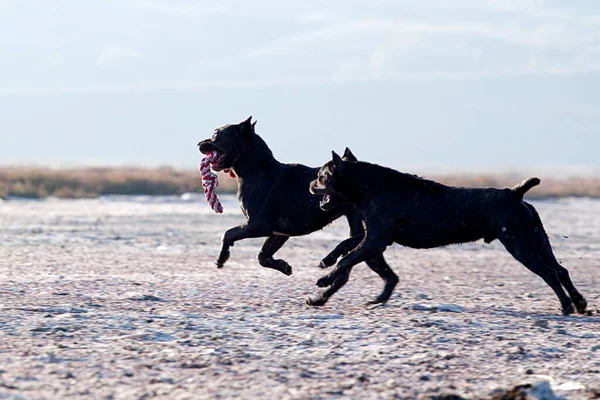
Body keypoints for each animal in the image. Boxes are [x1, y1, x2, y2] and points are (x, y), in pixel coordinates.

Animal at [197, 117, 394, 290]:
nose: (199, 143)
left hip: (359, 220)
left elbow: (228, 234)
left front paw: (221, 258)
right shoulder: (279, 233)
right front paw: (284, 267)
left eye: (216, 134)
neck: (257, 169)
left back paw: (331, 259)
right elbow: (263, 256)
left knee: (362, 241)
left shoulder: (258, 225)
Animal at [308, 151, 588, 316]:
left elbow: (348, 258)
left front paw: (325, 280)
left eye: (322, 176)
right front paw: (328, 260)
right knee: (561, 270)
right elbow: (346, 245)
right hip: (538, 242)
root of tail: (515, 193)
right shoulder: (374, 238)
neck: (371, 186)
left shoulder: (376, 240)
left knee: (550, 274)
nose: (311, 184)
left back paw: (565, 306)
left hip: (521, 246)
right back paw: (580, 303)